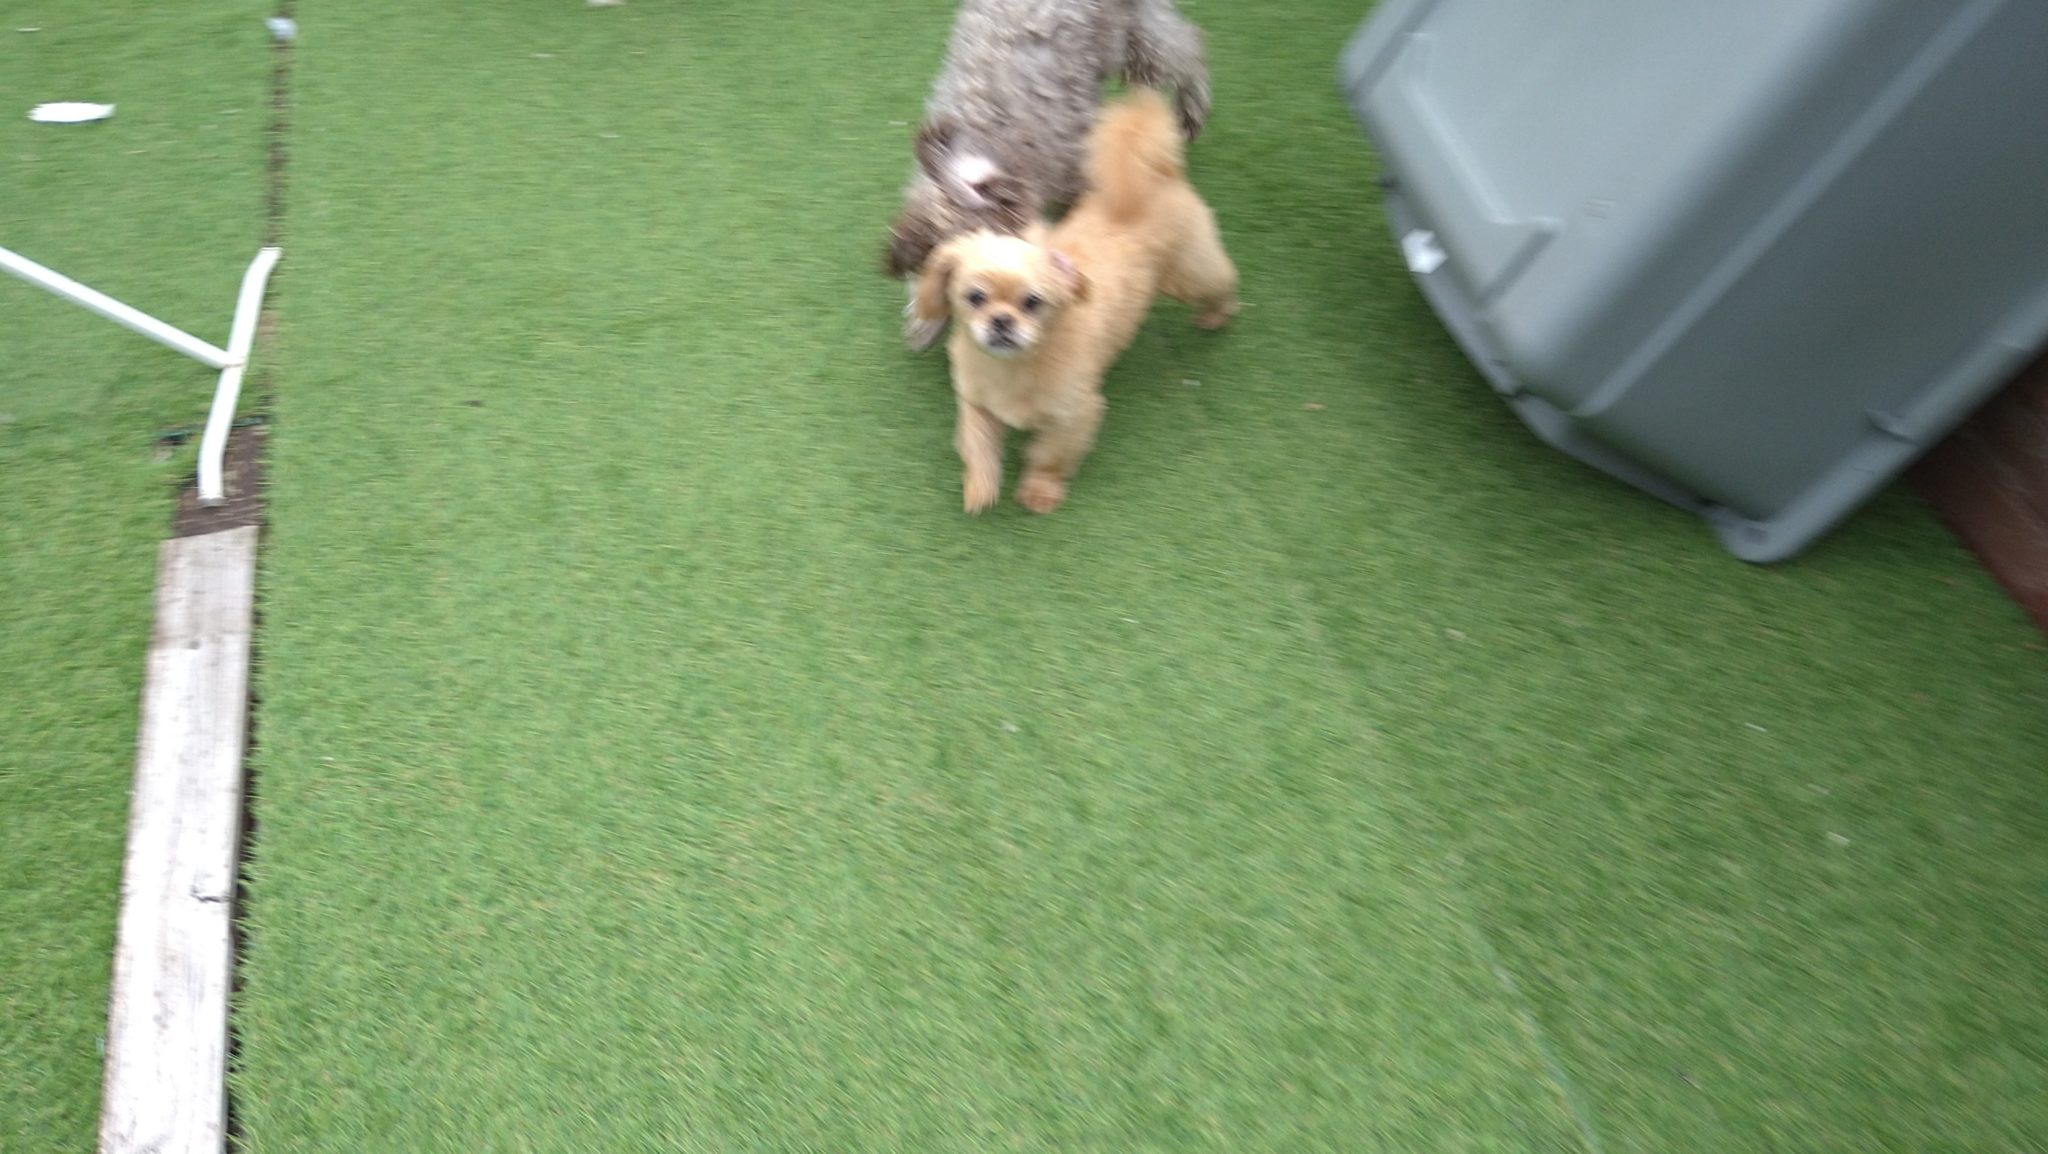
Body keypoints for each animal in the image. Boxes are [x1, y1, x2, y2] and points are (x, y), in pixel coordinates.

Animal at [913, 89, 1236, 515]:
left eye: (1032, 302)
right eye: (975, 297)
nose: (1001, 321)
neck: (1014, 368)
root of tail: (1163, 174)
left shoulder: (1076, 415)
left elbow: (1049, 455)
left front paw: (1039, 492)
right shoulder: (977, 404)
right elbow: (977, 444)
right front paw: (980, 486)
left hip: (1190, 274)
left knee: (1222, 280)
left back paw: (1218, 313)